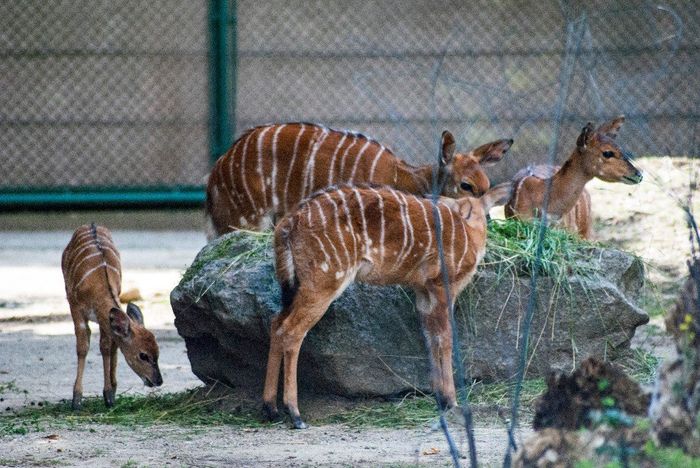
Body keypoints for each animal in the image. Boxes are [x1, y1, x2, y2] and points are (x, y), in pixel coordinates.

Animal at [61, 224, 163, 410]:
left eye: (157, 352)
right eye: (143, 355)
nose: (158, 381)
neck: (97, 289)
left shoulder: (105, 318)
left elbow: (107, 347)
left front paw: (109, 395)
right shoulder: (76, 308)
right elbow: (83, 348)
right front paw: (77, 399)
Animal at [205, 120, 512, 238]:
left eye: (487, 186)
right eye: (466, 185)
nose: (486, 222)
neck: (408, 179)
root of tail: (216, 172)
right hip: (247, 221)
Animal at [260, 134, 512, 428]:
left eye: (485, 183)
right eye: (465, 184)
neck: (468, 228)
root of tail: (288, 223)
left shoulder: (423, 292)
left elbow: (430, 339)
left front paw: (440, 399)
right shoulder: (443, 286)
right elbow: (445, 339)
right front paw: (451, 401)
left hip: (295, 284)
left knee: (276, 322)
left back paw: (270, 408)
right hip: (323, 281)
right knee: (291, 331)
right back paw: (295, 414)